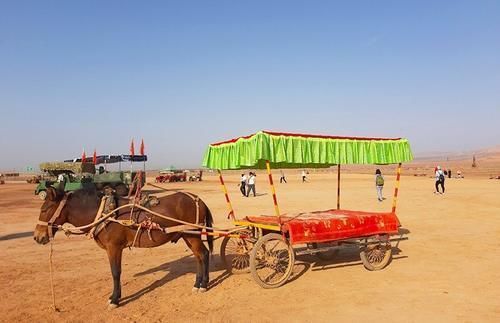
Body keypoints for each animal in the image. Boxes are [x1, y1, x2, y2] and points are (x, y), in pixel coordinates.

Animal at [33, 187, 213, 308]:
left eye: (45, 209)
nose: (37, 237)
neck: (105, 214)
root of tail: (198, 199)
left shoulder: (114, 248)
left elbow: (115, 272)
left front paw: (115, 299)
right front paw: (115, 297)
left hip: (192, 234)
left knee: (203, 254)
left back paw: (203, 284)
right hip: (187, 235)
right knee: (198, 257)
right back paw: (197, 283)